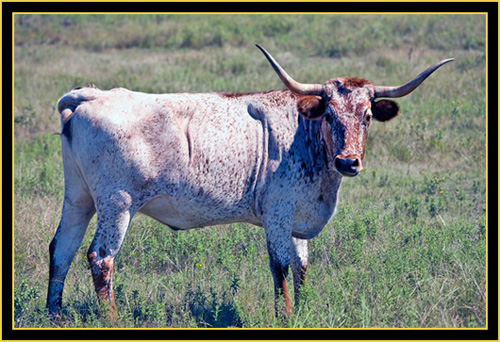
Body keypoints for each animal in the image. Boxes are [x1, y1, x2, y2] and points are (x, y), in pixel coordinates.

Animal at [47, 44, 454, 318]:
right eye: (330, 114)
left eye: (367, 116)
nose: (348, 161)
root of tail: (91, 96)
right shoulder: (277, 212)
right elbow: (281, 266)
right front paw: (286, 317)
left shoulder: (296, 214)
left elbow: (302, 265)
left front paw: (303, 312)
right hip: (117, 202)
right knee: (101, 257)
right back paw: (112, 320)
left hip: (79, 198)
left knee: (62, 249)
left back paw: (54, 315)